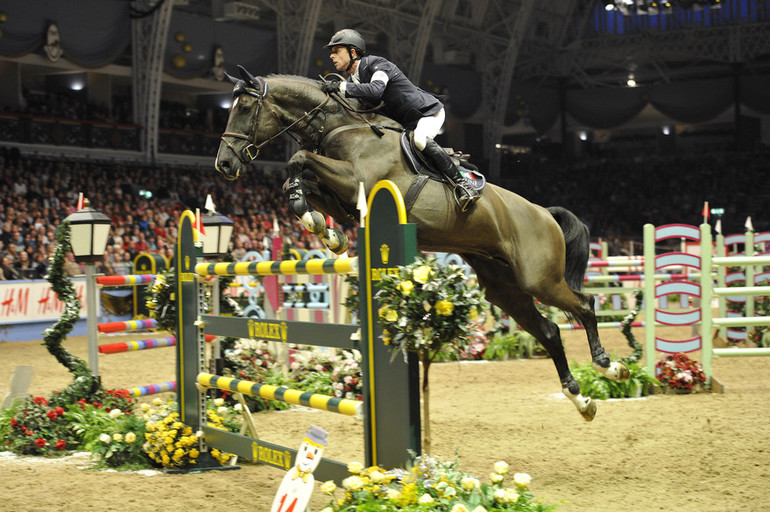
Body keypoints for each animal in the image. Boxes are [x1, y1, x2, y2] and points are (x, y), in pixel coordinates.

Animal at [213, 67, 628, 420]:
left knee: (585, 305)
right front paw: (323, 228)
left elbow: (298, 158)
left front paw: (318, 223)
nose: (224, 166)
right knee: (550, 331)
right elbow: (298, 177)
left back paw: (609, 366)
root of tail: (544, 212)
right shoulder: (342, 198)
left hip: (539, 278)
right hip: (503, 288)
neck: (344, 127)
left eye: (245, 108)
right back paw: (581, 399)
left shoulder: (356, 181)